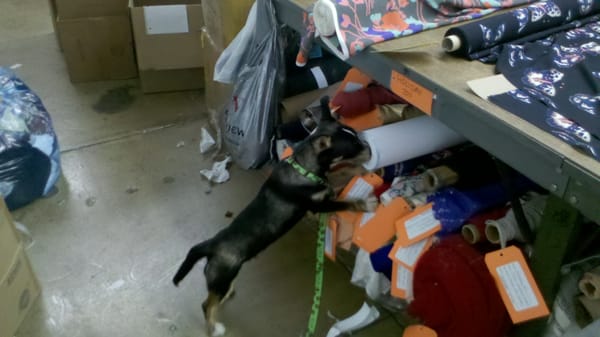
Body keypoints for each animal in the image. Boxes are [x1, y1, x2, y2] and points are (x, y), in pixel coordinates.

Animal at [171, 96, 372, 334]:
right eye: (353, 146)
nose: (370, 148)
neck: (305, 167)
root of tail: (211, 245)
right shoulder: (319, 204)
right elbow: (343, 202)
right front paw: (364, 203)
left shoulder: (317, 202)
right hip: (221, 276)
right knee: (206, 304)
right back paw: (215, 327)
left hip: (221, 279)